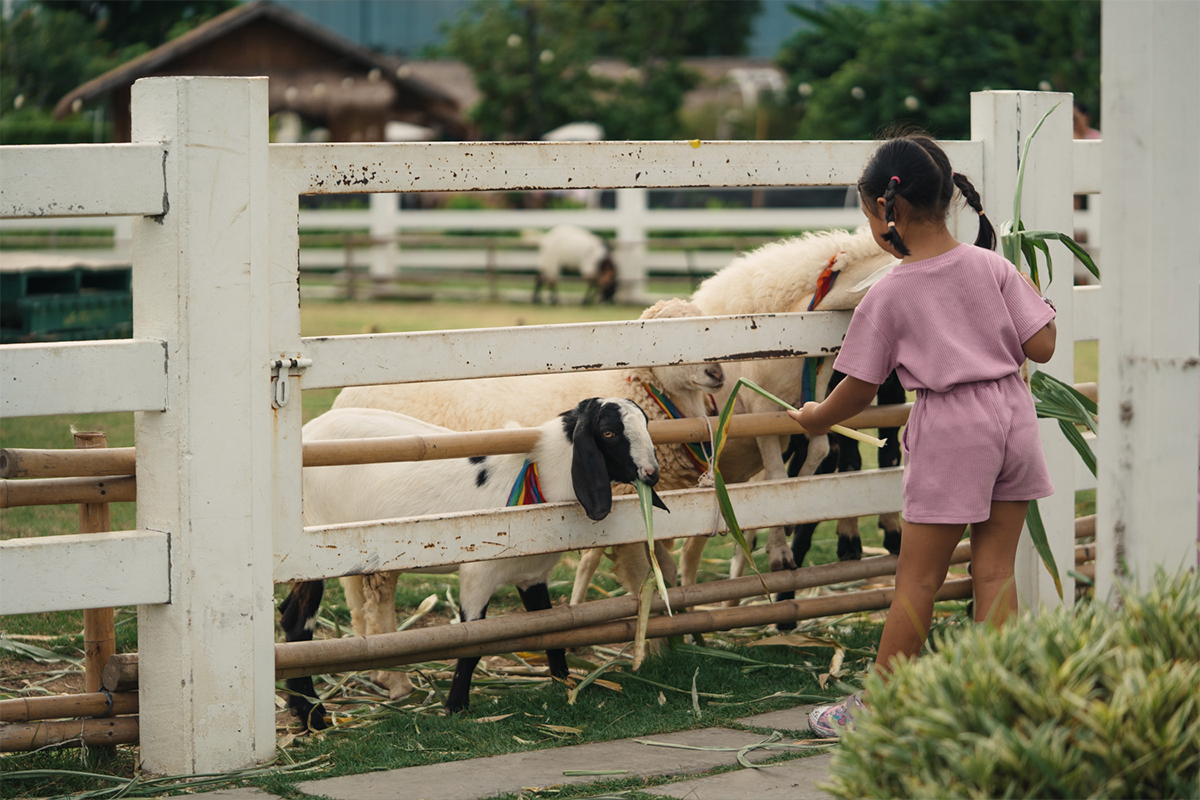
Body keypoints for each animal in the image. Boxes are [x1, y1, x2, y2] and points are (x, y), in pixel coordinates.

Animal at [278, 395, 667, 734]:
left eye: (646, 423)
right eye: (609, 432)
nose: (651, 474)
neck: (539, 475)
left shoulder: (531, 573)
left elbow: (552, 630)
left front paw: (564, 682)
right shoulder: (478, 573)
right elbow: (472, 642)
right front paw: (455, 706)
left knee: (287, 615)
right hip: (314, 552)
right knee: (298, 624)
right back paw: (312, 715)